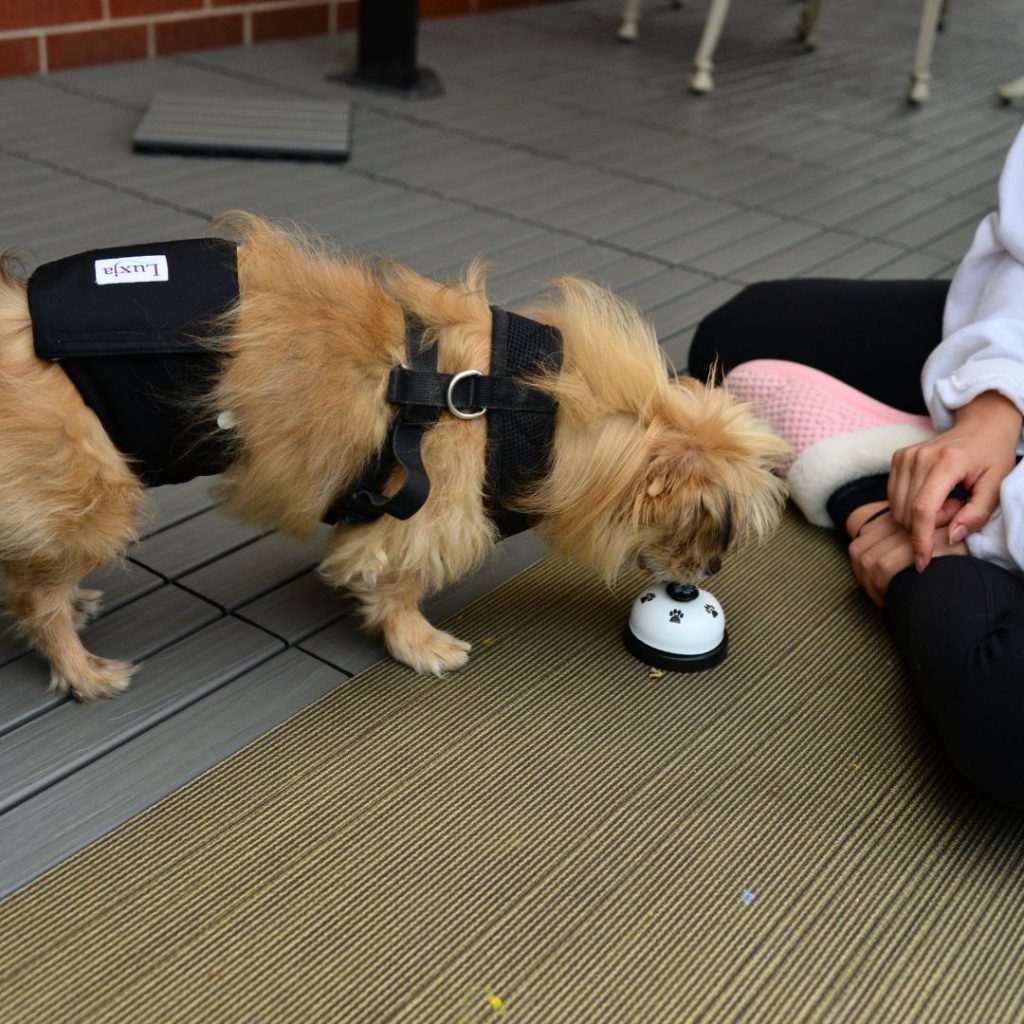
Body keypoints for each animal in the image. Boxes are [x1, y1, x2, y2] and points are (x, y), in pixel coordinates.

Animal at [0, 211, 786, 700]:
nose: (711, 573)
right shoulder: (421, 518)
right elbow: (399, 585)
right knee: (35, 598)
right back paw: (81, 668)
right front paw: (419, 644)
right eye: (707, 532)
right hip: (95, 494)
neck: (527, 401)